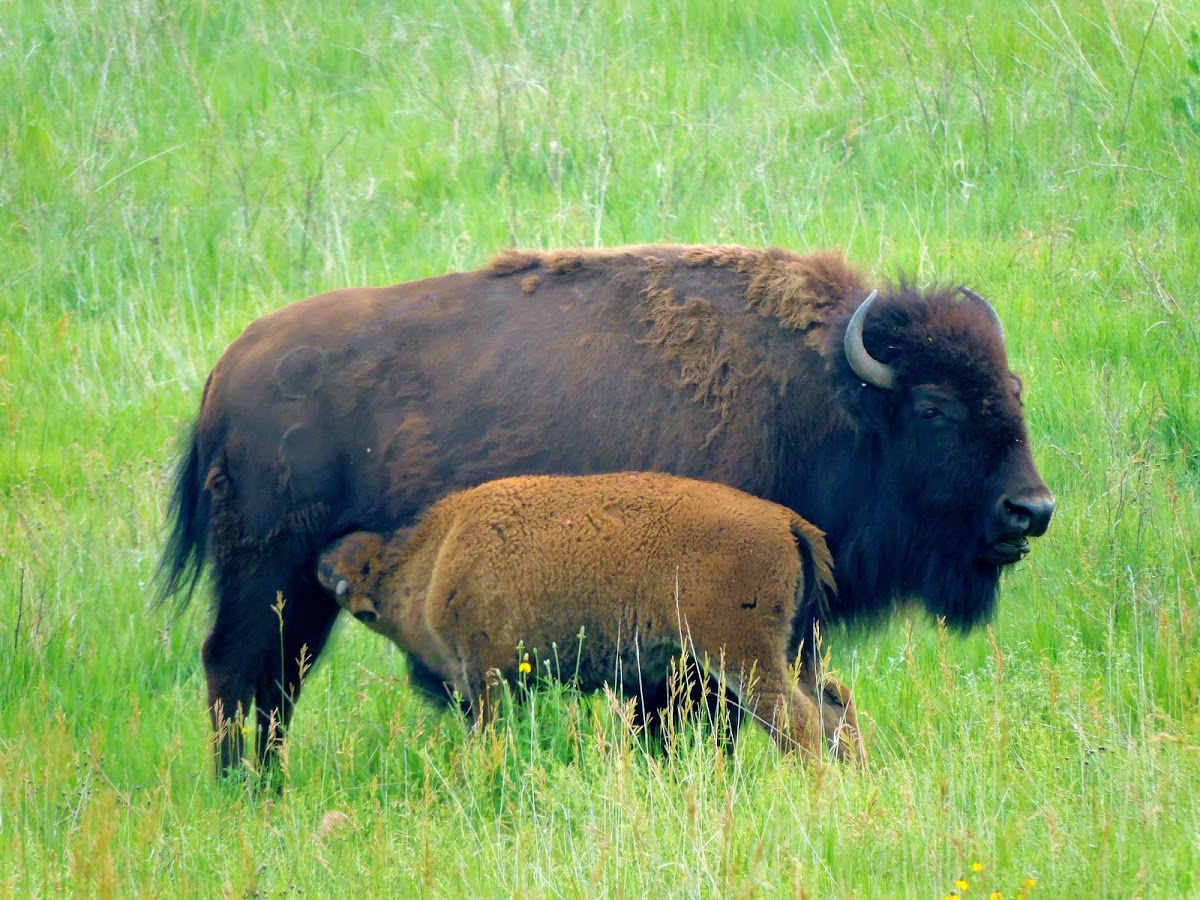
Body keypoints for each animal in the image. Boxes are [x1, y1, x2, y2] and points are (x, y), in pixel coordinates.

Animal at [314, 475, 868, 763]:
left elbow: (488, 733)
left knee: (797, 721)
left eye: (367, 588)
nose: (324, 561)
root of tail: (788, 522)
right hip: (796, 650)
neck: (435, 556)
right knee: (835, 705)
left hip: (743, 656)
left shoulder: (486, 674)